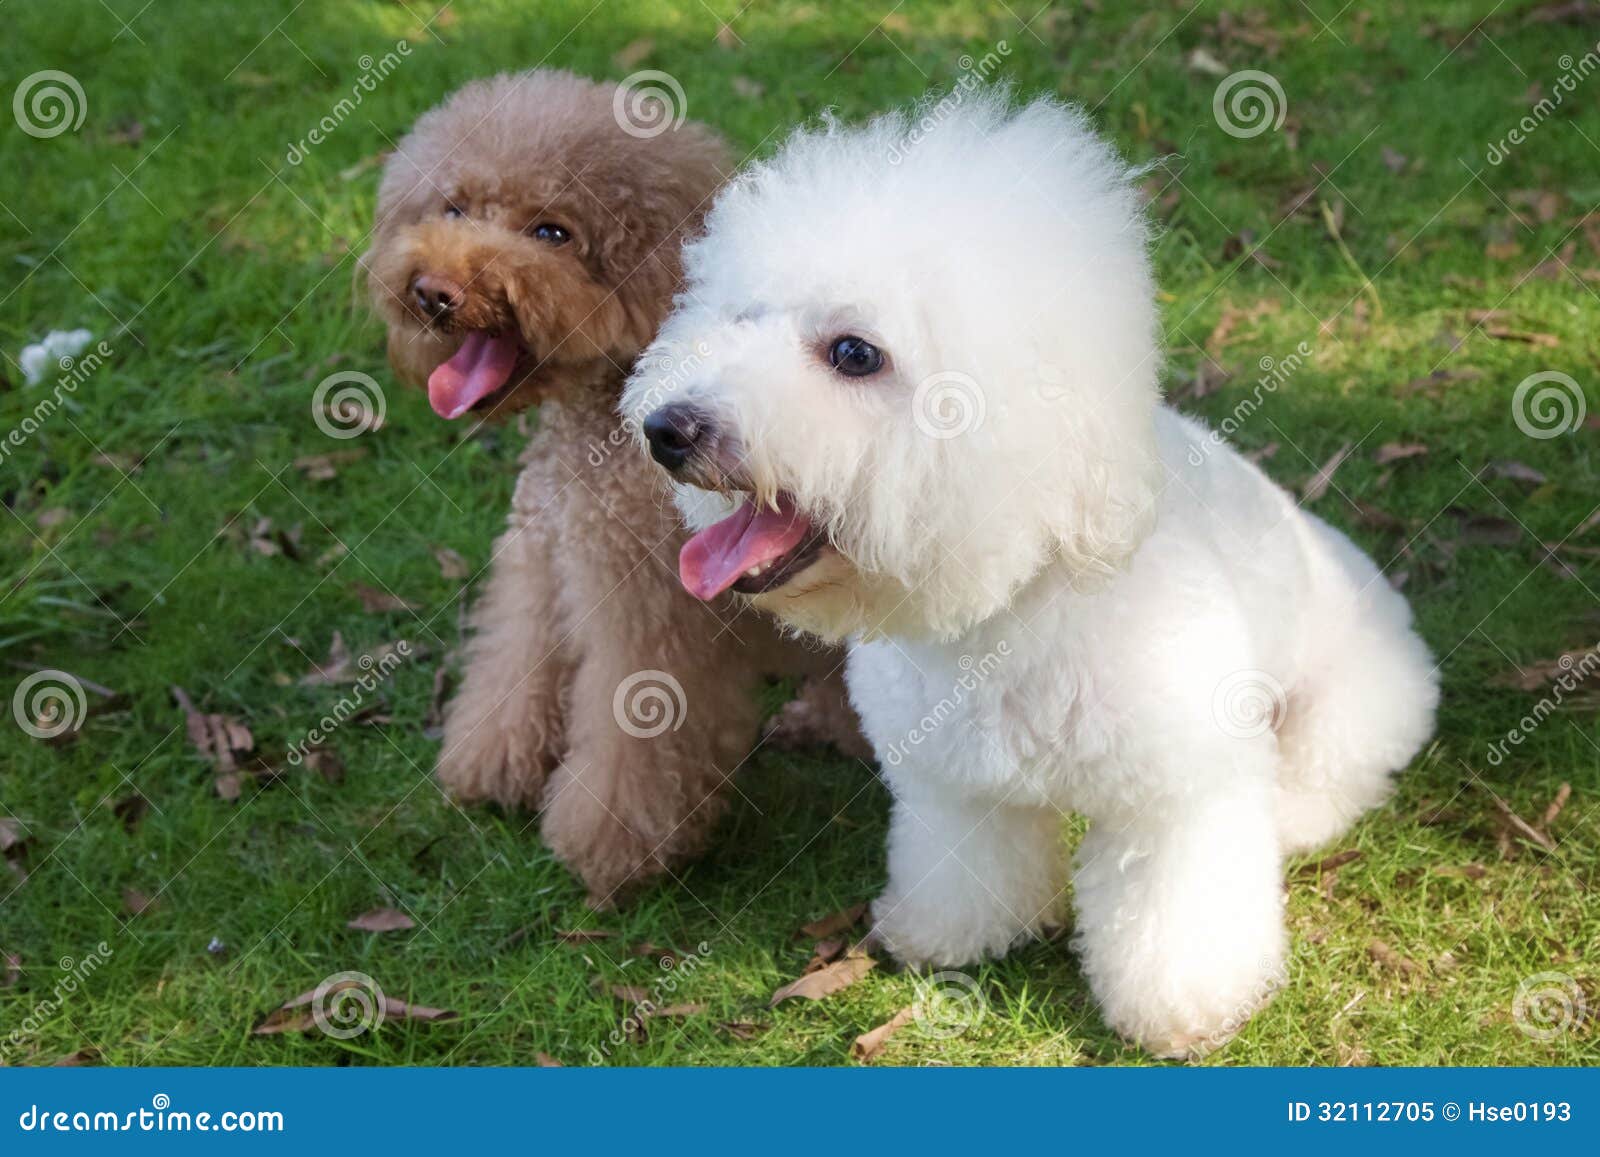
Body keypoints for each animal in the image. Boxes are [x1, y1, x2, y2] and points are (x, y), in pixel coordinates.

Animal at [366, 70, 864, 902]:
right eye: (454, 208)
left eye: (552, 233)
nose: (434, 291)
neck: (598, 427)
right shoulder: (547, 559)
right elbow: (517, 659)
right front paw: (492, 763)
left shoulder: (647, 606)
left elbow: (634, 739)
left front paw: (610, 847)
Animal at [620, 92, 1440, 1056]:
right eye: (741, 318)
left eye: (855, 353)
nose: (667, 428)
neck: (1016, 599)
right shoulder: (956, 785)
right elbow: (969, 867)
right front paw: (950, 936)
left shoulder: (1180, 796)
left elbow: (1177, 910)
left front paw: (1187, 1006)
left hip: (1351, 701)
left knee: (1330, 779)